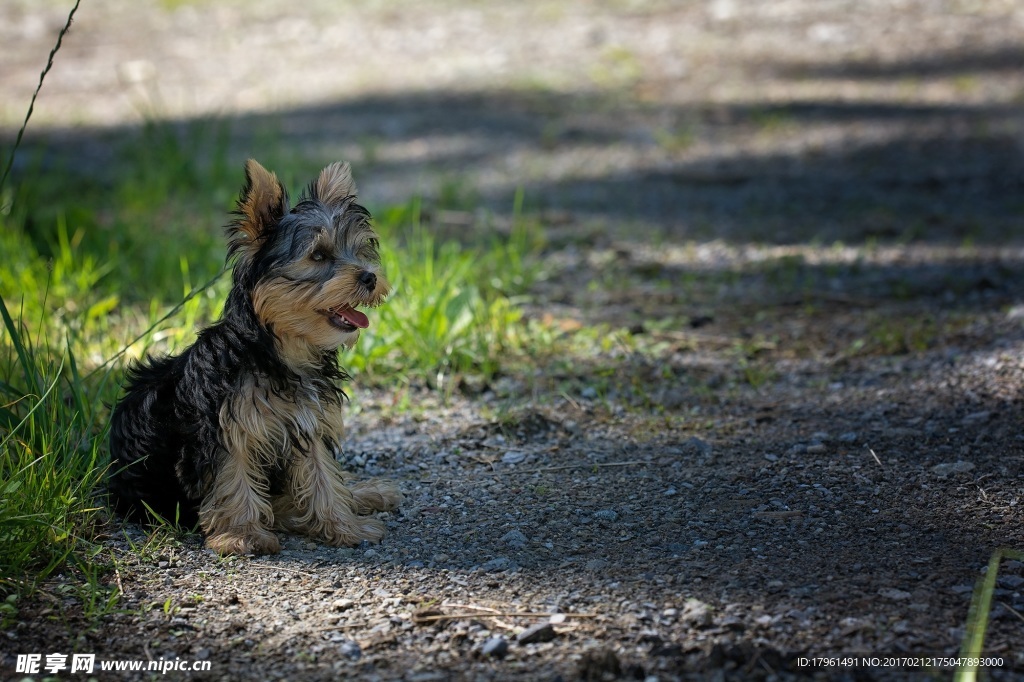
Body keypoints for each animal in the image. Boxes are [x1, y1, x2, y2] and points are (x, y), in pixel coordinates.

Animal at [109, 157, 399, 552]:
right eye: (318, 255)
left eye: (358, 251)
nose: (369, 277)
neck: (280, 351)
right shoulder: (225, 430)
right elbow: (233, 477)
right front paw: (242, 534)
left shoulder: (308, 421)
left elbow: (321, 473)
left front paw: (343, 524)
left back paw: (363, 494)